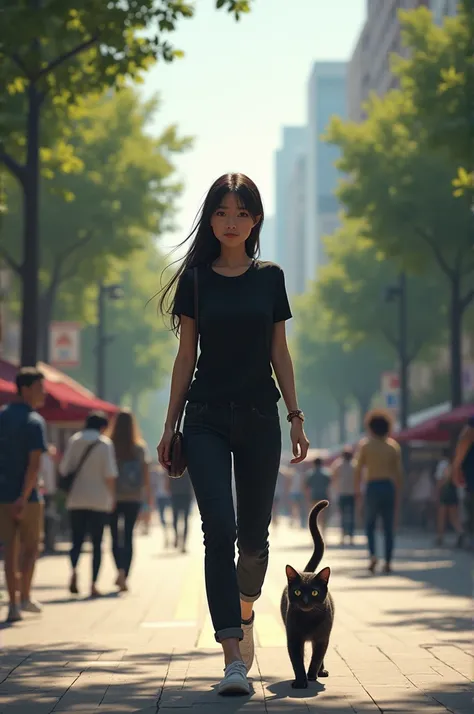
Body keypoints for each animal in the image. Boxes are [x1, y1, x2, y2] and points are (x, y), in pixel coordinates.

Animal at [282, 498, 334, 688]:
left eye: (314, 593)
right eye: (297, 592)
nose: (304, 601)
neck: (308, 619)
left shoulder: (322, 638)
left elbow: (317, 657)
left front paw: (311, 675)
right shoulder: (293, 638)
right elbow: (297, 660)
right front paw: (300, 681)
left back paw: (321, 671)